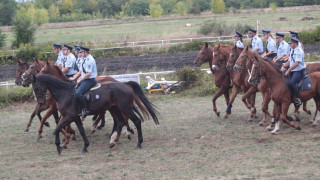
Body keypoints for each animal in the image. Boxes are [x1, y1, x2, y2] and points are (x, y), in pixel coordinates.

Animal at [31, 74, 159, 154]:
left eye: (36, 87)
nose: (41, 102)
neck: (65, 93)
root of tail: (125, 84)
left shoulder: (69, 116)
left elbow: (57, 128)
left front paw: (59, 146)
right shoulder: (75, 117)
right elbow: (80, 131)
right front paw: (84, 146)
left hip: (125, 108)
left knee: (136, 121)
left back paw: (138, 143)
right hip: (115, 109)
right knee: (121, 121)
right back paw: (112, 140)